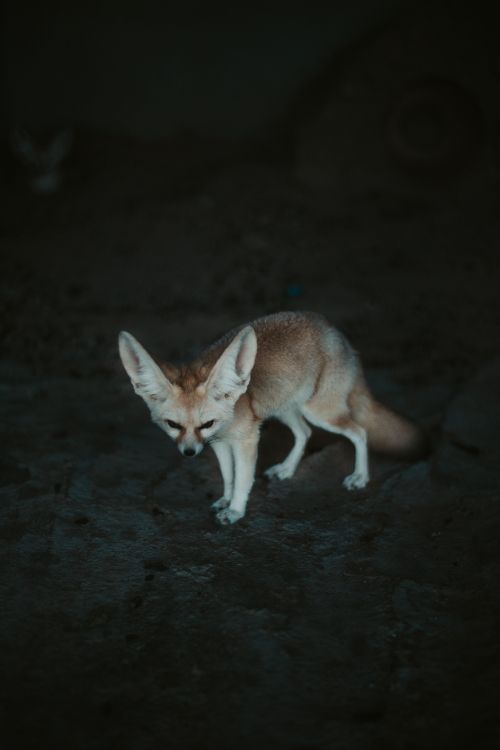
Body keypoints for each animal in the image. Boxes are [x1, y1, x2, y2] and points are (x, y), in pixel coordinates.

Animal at [118, 310, 426, 524]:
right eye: (173, 425)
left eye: (206, 423)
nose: (189, 453)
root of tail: (337, 334)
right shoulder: (219, 443)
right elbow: (228, 476)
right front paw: (226, 499)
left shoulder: (246, 440)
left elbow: (243, 478)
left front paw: (236, 509)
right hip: (286, 409)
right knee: (305, 433)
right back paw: (287, 469)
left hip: (319, 412)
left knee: (360, 431)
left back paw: (360, 476)